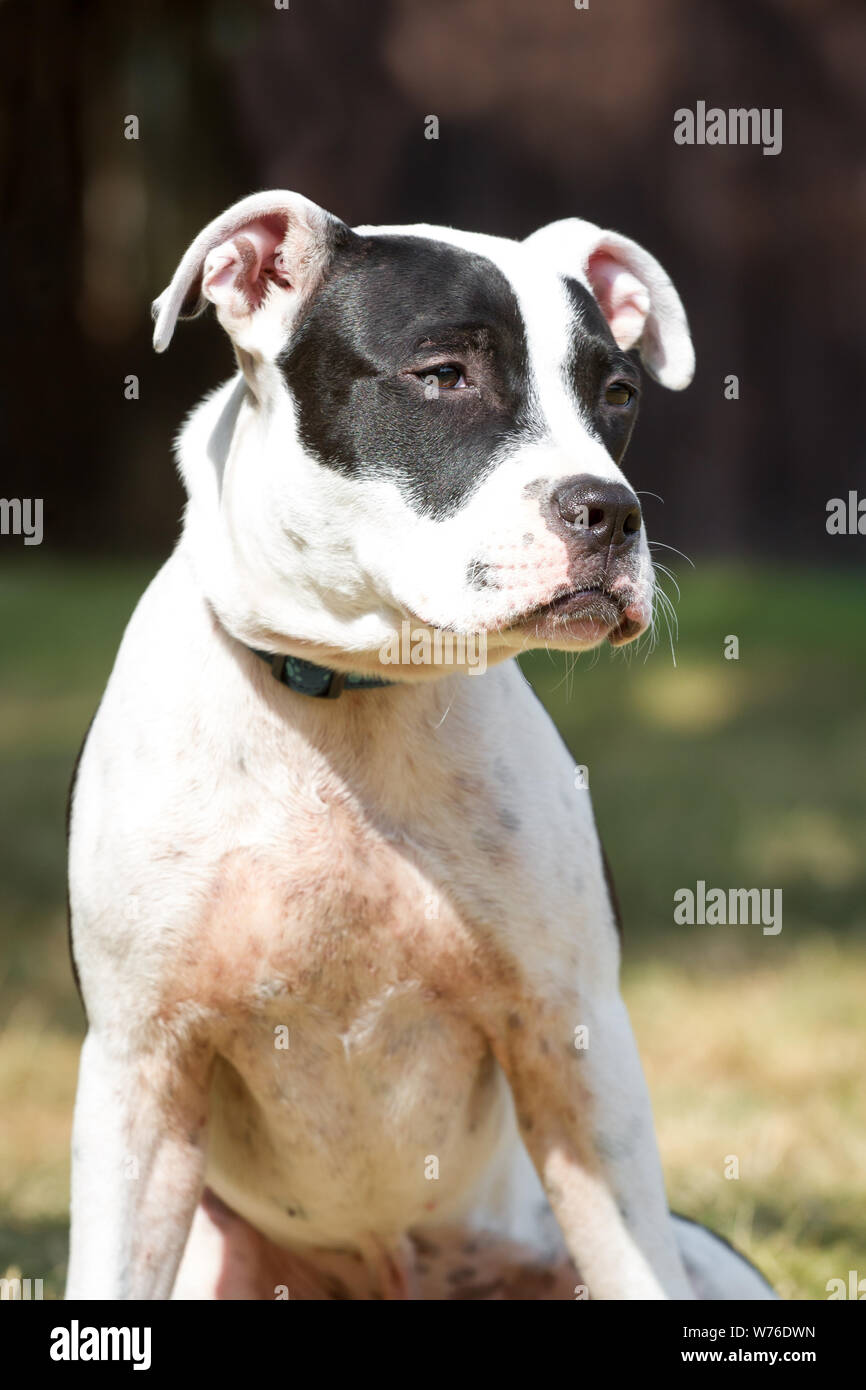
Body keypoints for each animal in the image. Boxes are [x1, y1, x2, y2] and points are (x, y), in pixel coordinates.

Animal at [64, 190, 778, 1295]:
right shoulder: (140, 1069)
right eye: (444, 375)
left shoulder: (577, 1044)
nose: (609, 510)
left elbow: (632, 1258)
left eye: (616, 393)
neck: (353, 697)